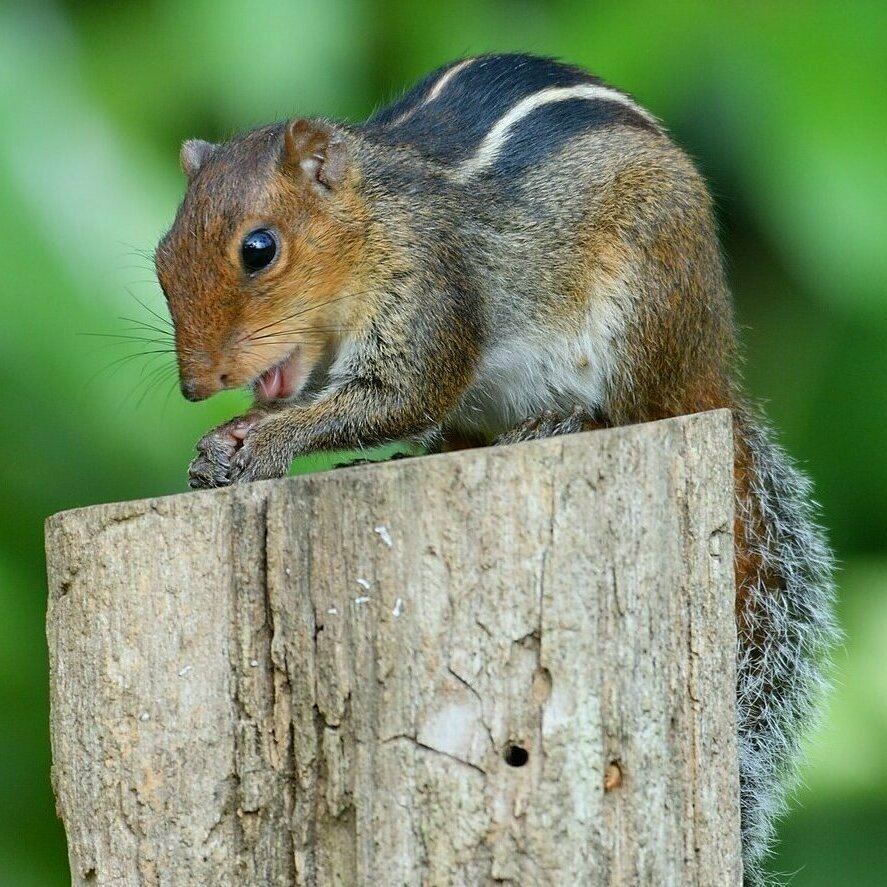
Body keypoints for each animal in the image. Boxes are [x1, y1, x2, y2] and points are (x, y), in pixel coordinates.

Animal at [154, 53, 838, 883]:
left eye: (259, 248)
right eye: (161, 256)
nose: (196, 386)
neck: (372, 216)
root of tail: (713, 373)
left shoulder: (431, 293)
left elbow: (403, 396)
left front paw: (260, 442)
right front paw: (226, 445)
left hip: (643, 303)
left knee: (637, 410)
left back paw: (561, 420)